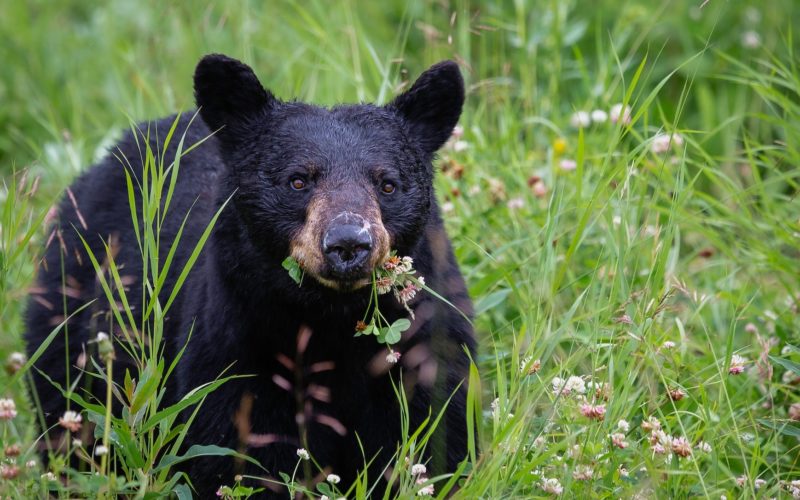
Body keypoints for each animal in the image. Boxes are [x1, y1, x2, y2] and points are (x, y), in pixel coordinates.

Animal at [23, 54, 476, 496]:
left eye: (387, 184)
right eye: (298, 180)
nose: (348, 243)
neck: (331, 321)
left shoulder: (425, 347)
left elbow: (434, 441)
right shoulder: (235, 348)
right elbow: (239, 455)